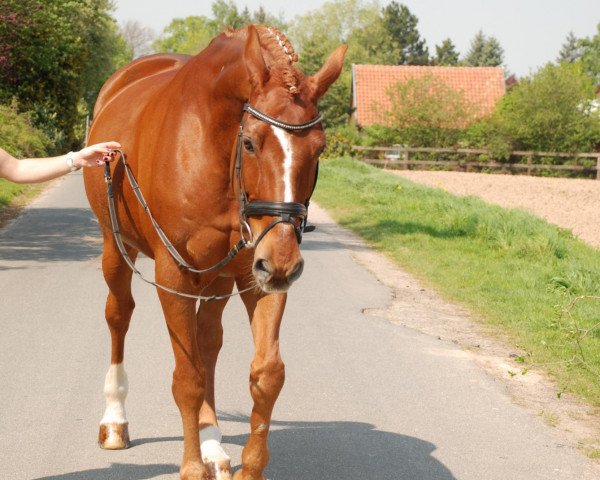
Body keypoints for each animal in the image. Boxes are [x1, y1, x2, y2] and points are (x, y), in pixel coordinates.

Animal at [84, 24, 346, 478]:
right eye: (251, 142)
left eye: (320, 147)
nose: (284, 261)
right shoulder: (172, 274)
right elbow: (187, 378)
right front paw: (191, 467)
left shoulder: (257, 276)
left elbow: (266, 373)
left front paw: (247, 466)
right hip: (116, 249)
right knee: (119, 317)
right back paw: (115, 421)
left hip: (218, 279)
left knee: (208, 343)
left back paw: (213, 445)